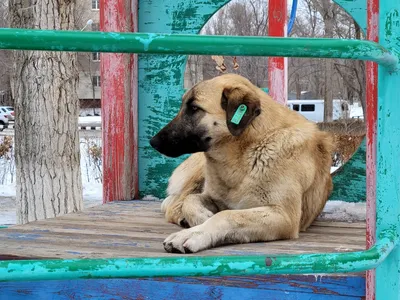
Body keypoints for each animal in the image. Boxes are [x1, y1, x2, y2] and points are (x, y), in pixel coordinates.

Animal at [148, 72, 332, 253]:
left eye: (194, 108)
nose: (153, 142)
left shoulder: (283, 215)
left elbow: (227, 215)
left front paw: (194, 233)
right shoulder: (214, 197)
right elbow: (191, 200)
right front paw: (200, 218)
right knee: (177, 202)